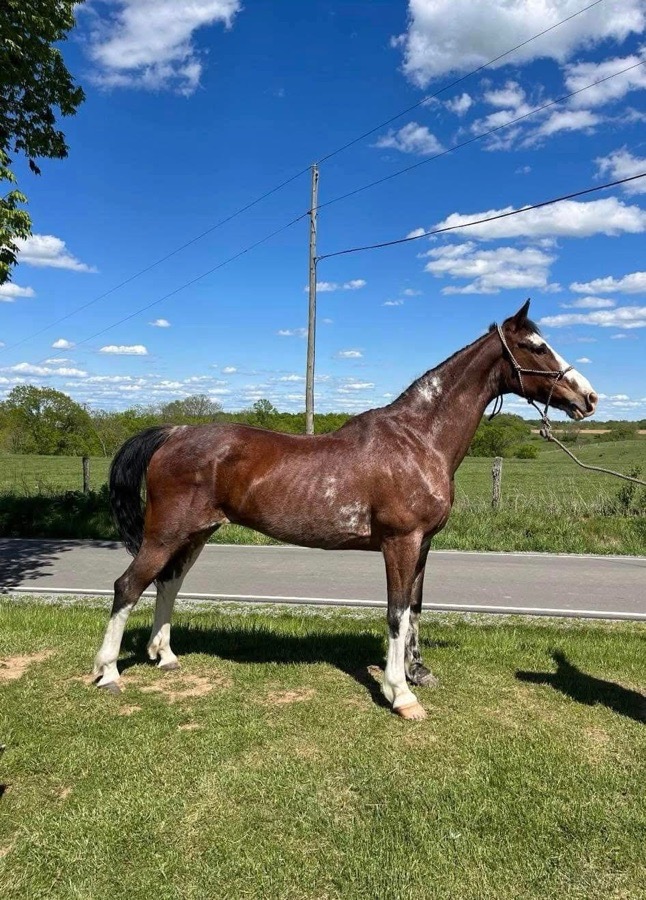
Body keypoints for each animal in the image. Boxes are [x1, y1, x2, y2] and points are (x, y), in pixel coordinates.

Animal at [93, 300, 598, 719]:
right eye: (536, 347)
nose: (589, 398)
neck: (418, 439)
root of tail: (174, 432)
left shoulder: (423, 546)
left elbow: (415, 609)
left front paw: (417, 673)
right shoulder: (400, 543)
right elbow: (396, 612)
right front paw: (401, 695)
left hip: (196, 534)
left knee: (167, 584)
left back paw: (166, 657)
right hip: (166, 534)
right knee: (127, 587)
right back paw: (108, 673)